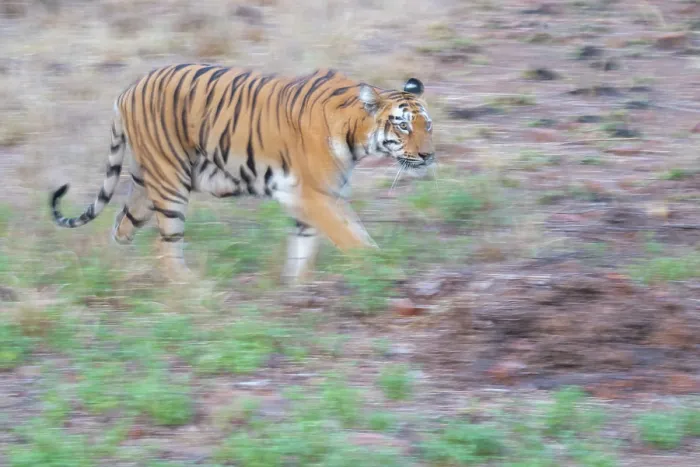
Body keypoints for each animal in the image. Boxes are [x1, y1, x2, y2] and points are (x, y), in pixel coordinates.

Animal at [49, 64, 436, 284]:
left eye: (427, 125)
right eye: (402, 125)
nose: (429, 155)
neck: (356, 138)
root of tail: (127, 91)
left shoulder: (319, 197)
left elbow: (311, 244)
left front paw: (295, 288)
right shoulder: (313, 195)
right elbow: (353, 239)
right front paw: (382, 269)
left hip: (148, 181)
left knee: (122, 225)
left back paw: (117, 268)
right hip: (170, 182)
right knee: (165, 245)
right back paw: (191, 289)